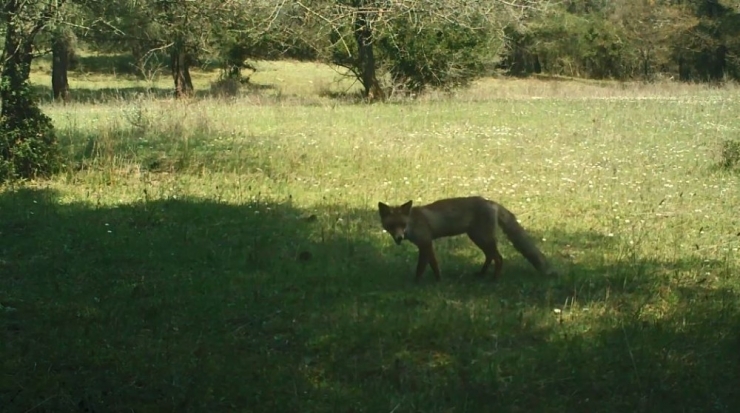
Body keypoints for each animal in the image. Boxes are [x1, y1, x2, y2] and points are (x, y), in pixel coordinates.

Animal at [378, 196, 556, 280]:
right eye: (391, 226)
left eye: (402, 224)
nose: (399, 238)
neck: (413, 222)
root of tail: (491, 202)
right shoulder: (426, 245)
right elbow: (433, 265)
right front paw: (437, 281)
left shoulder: (426, 243)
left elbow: (422, 268)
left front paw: (419, 283)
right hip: (478, 238)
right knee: (490, 257)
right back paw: (482, 274)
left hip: (483, 238)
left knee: (499, 258)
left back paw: (494, 279)